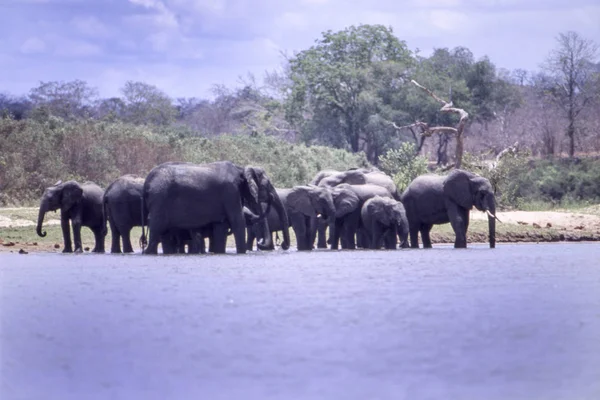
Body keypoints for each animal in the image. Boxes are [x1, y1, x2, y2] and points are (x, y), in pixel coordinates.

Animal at [142, 161, 290, 255]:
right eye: (267, 185)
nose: (283, 245)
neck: (241, 169)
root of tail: (147, 181)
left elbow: (220, 226)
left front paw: (219, 253)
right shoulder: (230, 192)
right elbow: (238, 221)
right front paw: (242, 253)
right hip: (160, 199)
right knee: (156, 229)